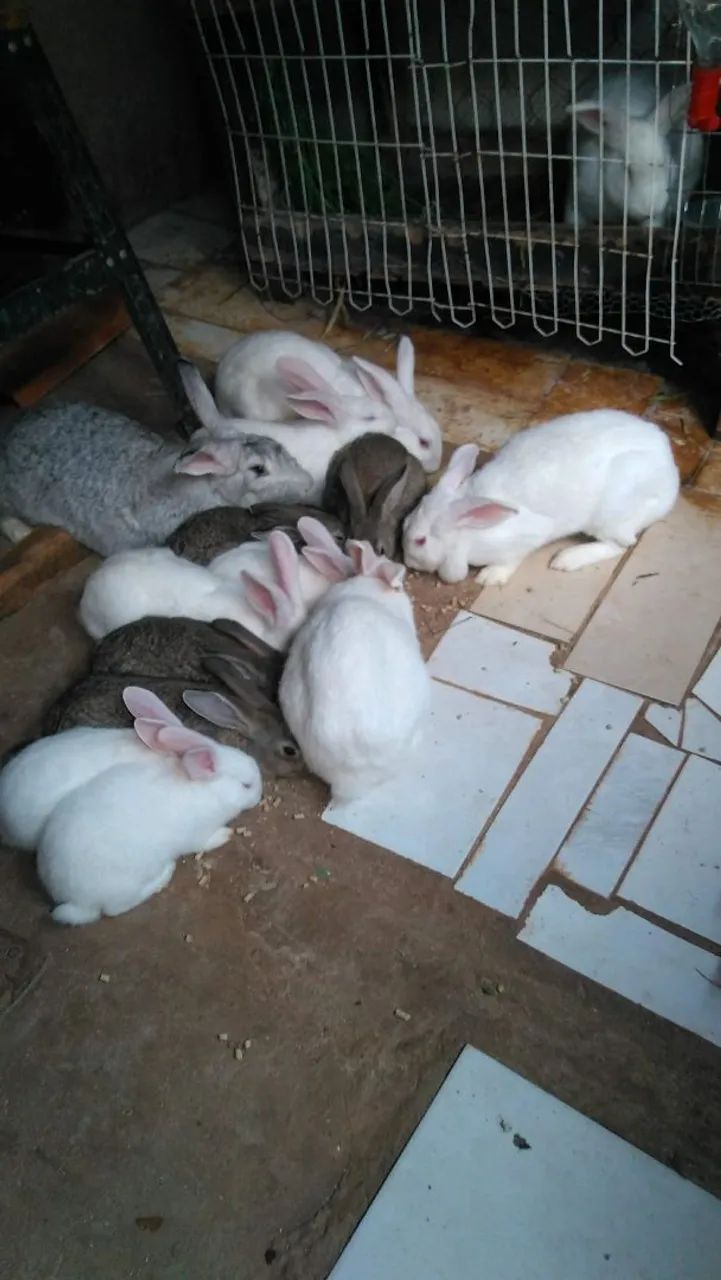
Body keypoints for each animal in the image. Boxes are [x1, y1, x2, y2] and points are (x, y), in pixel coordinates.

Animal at [28, 688, 263, 924]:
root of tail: (78, 901)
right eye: (246, 785)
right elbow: (205, 842)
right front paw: (225, 835)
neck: (210, 791)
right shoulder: (198, 834)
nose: (259, 794)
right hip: (125, 885)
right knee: (115, 909)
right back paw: (163, 876)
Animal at [402, 410, 680, 587]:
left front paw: (490, 576)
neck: (467, 530)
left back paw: (566, 559)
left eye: (420, 541)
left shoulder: (521, 540)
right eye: (405, 522)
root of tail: (669, 463)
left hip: (611, 518)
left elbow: (511, 560)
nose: (407, 561)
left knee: (620, 545)